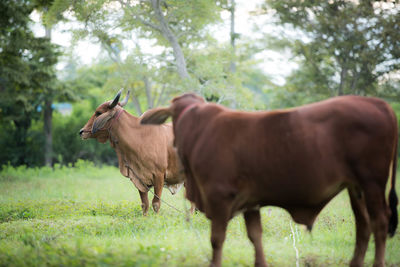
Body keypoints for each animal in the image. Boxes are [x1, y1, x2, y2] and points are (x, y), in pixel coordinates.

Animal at [141, 93, 396, 267]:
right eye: (175, 115)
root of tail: (378, 104)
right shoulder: (250, 203)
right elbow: (256, 237)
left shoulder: (219, 197)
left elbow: (216, 239)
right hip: (356, 188)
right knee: (363, 226)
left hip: (372, 183)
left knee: (380, 223)